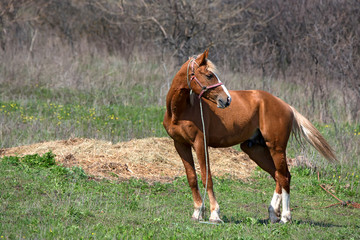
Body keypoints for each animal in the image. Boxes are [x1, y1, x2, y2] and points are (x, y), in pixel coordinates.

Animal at [163, 48, 338, 223]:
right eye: (209, 75)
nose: (227, 99)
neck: (182, 111)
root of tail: (286, 106)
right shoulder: (180, 145)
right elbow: (192, 178)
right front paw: (197, 212)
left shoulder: (200, 143)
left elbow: (207, 178)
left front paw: (214, 214)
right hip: (255, 149)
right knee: (278, 175)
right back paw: (273, 213)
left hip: (276, 148)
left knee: (284, 177)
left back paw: (285, 217)